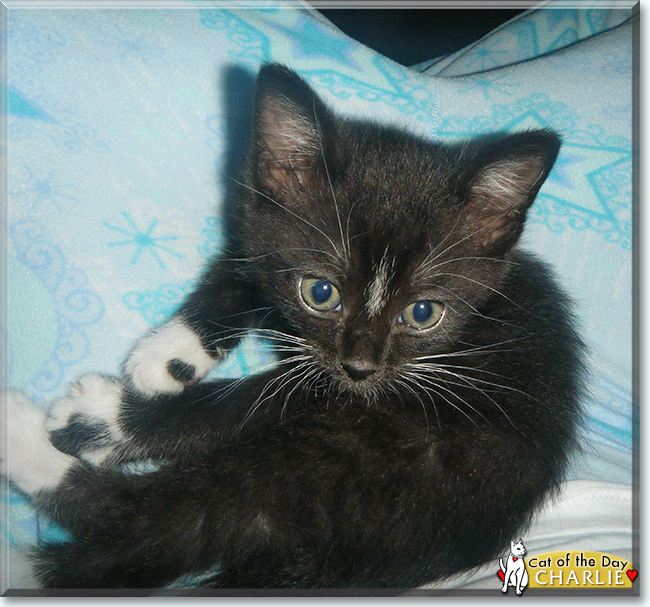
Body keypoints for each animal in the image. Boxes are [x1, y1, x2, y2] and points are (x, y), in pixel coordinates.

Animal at [3, 64, 584, 592]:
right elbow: (242, 266)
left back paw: (33, 440)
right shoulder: (263, 221)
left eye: (423, 313)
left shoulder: (357, 390)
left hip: (352, 463)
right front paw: (169, 355)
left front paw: (113, 416)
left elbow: (253, 400)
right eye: (320, 293)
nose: (360, 367)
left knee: (162, 518)